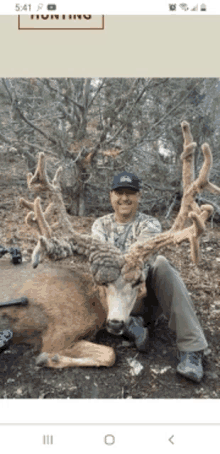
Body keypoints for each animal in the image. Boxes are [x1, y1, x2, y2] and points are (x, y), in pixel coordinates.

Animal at [0, 121, 219, 368]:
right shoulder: (57, 333)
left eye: (137, 283)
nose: (115, 323)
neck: (92, 302)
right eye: (103, 283)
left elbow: (108, 353)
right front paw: (47, 358)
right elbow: (109, 354)